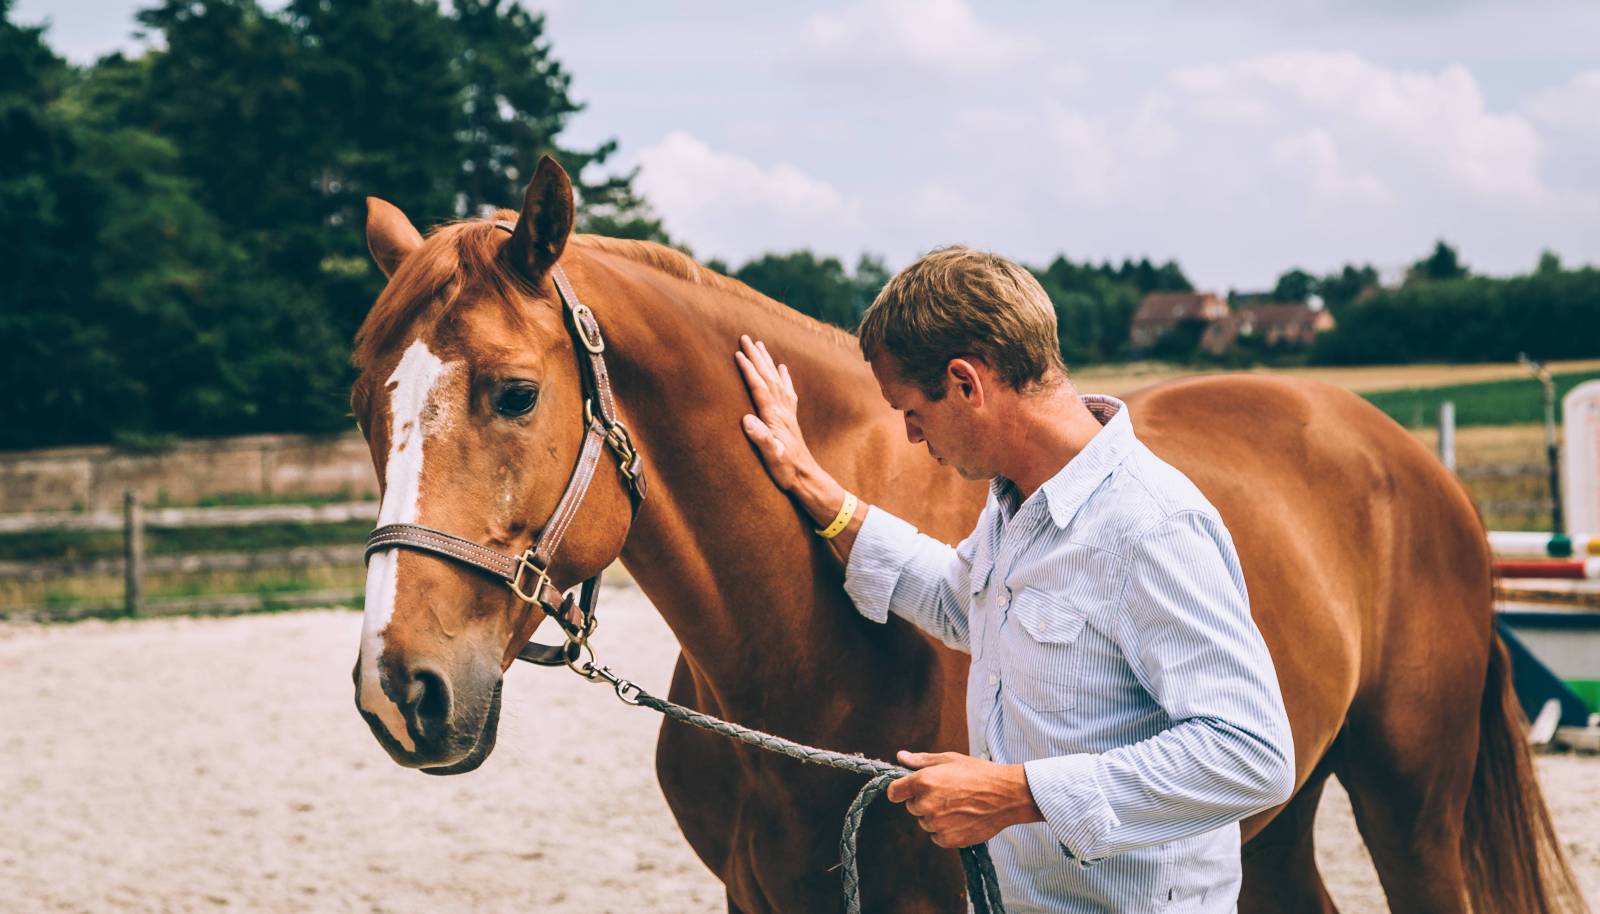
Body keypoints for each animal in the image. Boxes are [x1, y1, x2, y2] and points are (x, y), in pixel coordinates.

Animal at [344, 157, 1580, 914]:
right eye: (362, 403)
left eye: (514, 393)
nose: (400, 689)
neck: (809, 640)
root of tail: (1406, 458)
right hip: (1269, 820)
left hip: (1409, 799)